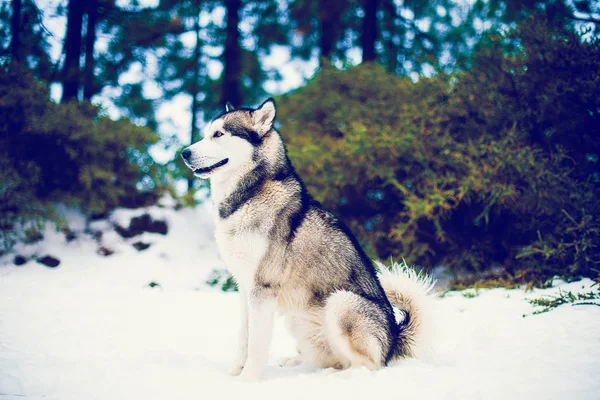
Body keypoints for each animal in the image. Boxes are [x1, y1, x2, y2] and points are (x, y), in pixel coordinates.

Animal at [182, 98, 436, 380]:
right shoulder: (245, 288)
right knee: (331, 359)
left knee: (370, 365)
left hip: (341, 302)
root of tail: (393, 341)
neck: (249, 195)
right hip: (297, 319)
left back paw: (342, 376)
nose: (184, 153)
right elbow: (243, 338)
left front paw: (248, 380)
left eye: (219, 134)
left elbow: (256, 343)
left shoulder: (263, 288)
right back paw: (300, 364)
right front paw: (234, 373)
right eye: (206, 133)